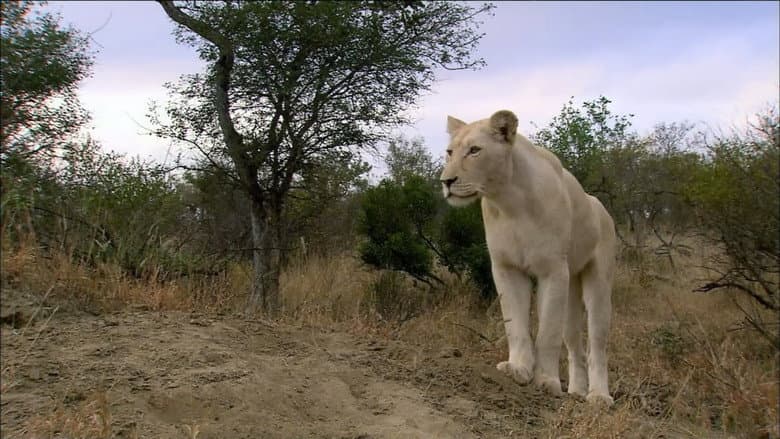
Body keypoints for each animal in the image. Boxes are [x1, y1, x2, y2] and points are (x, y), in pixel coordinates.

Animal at [440, 110, 616, 405]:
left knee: (597, 344)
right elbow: (516, 325)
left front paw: (546, 381)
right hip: (571, 285)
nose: (446, 182)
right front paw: (518, 369)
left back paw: (598, 396)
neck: (509, 202)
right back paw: (576, 391)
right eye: (450, 152)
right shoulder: (507, 268)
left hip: (599, 281)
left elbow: (547, 334)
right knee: (574, 346)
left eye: (475, 150)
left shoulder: (553, 270)